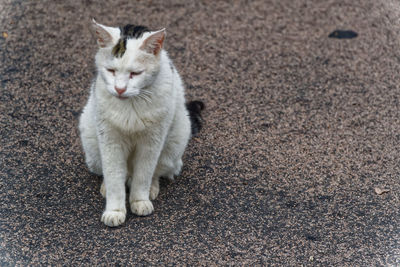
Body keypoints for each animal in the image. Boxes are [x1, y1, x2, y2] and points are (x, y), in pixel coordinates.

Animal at [79, 19, 203, 227]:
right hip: (91, 142)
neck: (130, 105)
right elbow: (113, 176)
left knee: (156, 171)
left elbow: (144, 173)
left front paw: (139, 200)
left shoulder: (152, 141)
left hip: (174, 144)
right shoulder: (110, 140)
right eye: (111, 71)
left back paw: (151, 188)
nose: (120, 89)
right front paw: (114, 210)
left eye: (135, 74)